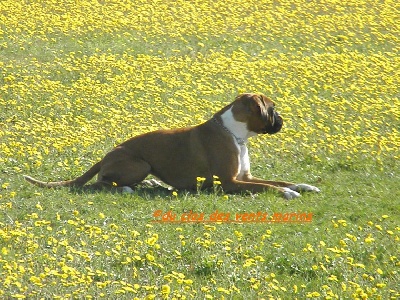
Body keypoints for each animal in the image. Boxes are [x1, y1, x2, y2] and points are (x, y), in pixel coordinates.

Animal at [24, 92, 318, 198]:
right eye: (272, 108)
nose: (282, 120)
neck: (236, 133)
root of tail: (108, 154)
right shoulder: (232, 183)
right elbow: (268, 186)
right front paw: (288, 193)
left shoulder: (245, 177)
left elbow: (279, 180)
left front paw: (303, 186)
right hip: (138, 163)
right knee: (100, 183)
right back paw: (128, 188)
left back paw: (155, 183)